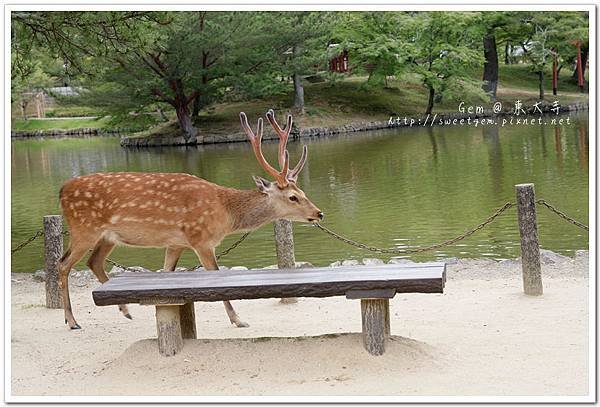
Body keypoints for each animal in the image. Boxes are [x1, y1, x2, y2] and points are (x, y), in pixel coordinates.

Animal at [58, 111, 324, 332]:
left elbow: (166, 273)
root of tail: (61, 190)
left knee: (93, 262)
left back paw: (126, 311)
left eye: (302, 192)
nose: (319, 213)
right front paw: (238, 320)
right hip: (83, 229)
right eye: (293, 197)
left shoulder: (176, 242)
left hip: (107, 237)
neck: (225, 213)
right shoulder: (201, 239)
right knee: (63, 264)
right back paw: (72, 321)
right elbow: (216, 277)